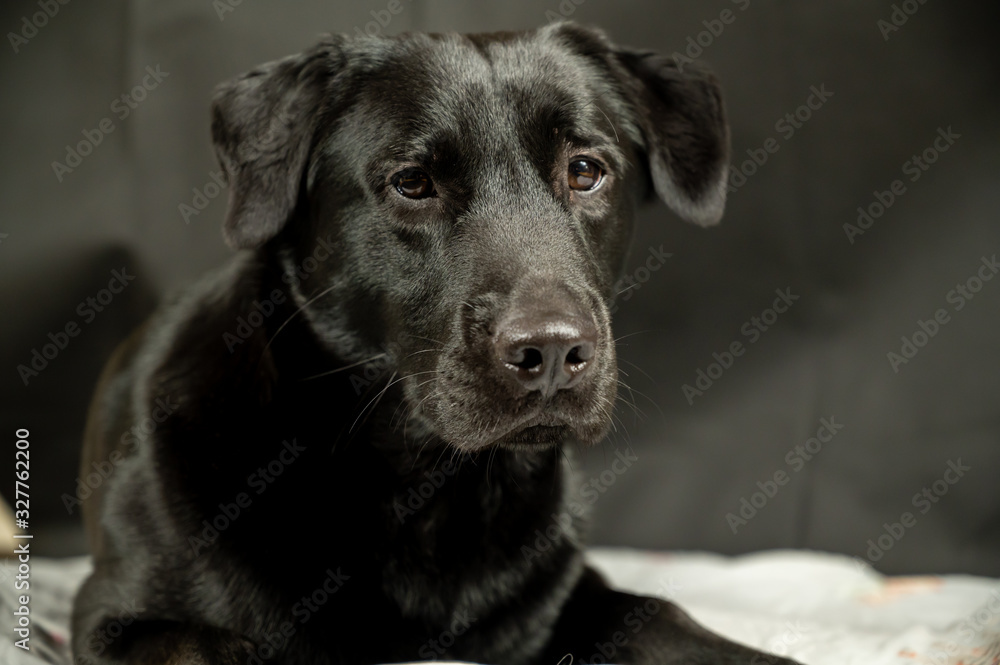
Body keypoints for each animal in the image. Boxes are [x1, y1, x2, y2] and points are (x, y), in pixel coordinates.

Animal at [72, 20, 796, 664]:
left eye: (585, 170)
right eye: (413, 182)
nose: (552, 352)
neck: (434, 490)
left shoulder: (567, 595)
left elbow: (662, 617)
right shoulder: (113, 619)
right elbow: (209, 647)